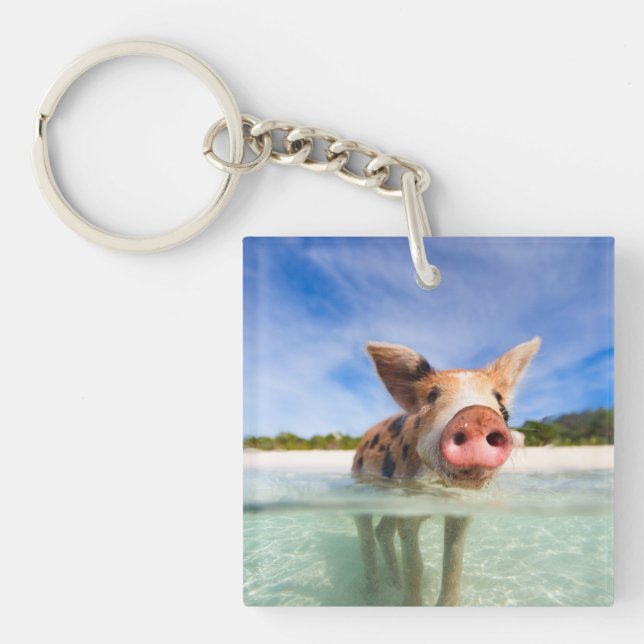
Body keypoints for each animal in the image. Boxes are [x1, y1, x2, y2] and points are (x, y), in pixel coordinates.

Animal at [352, 337, 541, 605]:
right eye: (432, 396)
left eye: (500, 402)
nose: (477, 415)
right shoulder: (408, 505)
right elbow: (415, 566)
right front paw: (412, 604)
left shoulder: (460, 509)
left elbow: (453, 562)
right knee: (367, 535)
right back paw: (372, 595)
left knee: (383, 532)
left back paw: (394, 584)